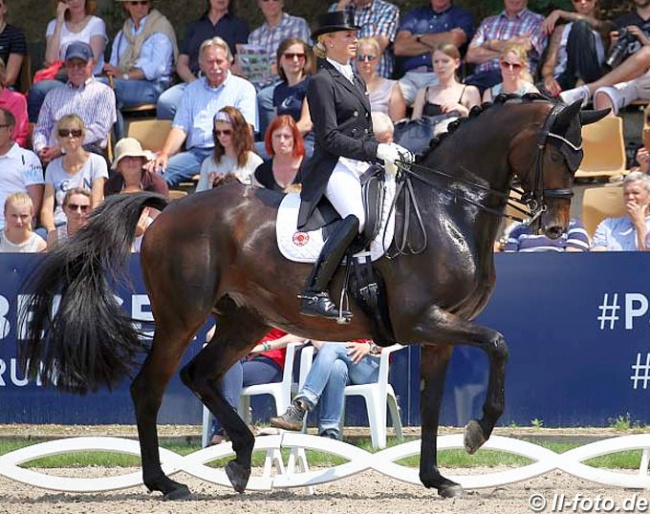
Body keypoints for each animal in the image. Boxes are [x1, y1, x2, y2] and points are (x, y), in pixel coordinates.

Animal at [21, 96, 608, 496]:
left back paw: (241, 458)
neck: (448, 206)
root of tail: (169, 208)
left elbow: (433, 404)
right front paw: (478, 432)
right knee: (151, 388)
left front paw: (436, 477)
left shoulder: (440, 331)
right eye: (558, 156)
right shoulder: (423, 320)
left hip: (244, 322)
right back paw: (166, 482)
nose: (556, 228)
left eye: (580, 159)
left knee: (200, 375)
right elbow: (500, 343)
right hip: (181, 317)